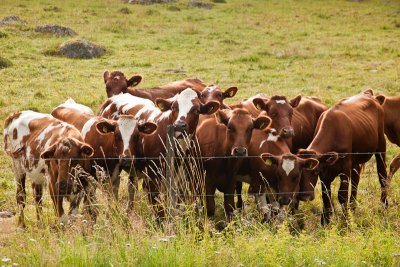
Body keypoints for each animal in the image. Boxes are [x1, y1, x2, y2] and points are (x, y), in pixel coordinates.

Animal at [99, 89, 219, 219]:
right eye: (173, 107)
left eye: (196, 110)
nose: (179, 125)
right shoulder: (153, 178)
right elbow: (159, 211)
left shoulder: (182, 179)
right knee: (112, 189)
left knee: (131, 185)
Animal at [296, 90, 388, 226]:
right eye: (298, 174)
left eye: (315, 172)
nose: (305, 196)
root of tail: (370, 94)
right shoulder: (325, 172)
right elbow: (326, 195)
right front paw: (325, 221)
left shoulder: (344, 167)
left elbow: (342, 195)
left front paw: (345, 221)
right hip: (356, 160)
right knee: (356, 179)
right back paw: (353, 207)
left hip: (381, 146)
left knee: (382, 175)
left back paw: (384, 205)